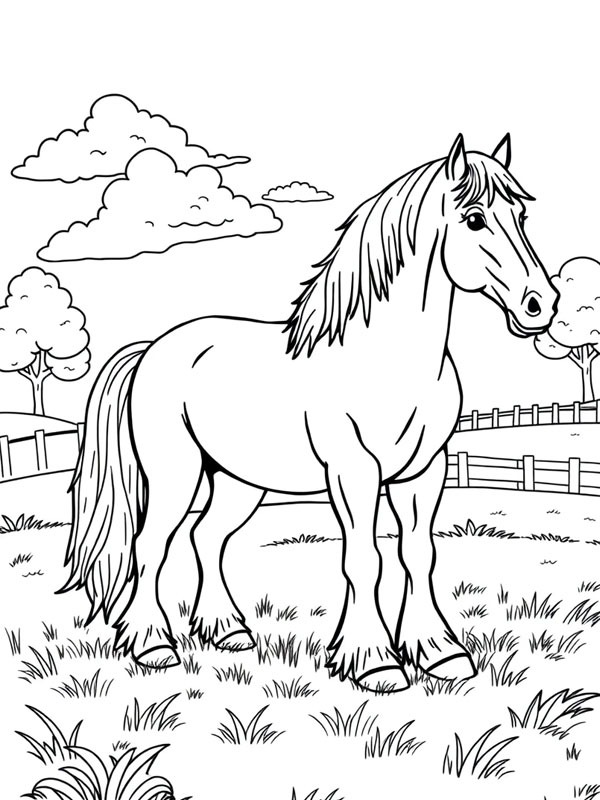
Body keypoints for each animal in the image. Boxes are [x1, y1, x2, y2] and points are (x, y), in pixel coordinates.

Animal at [62, 134, 558, 692]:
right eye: (474, 219)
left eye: (521, 216)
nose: (542, 304)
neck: (389, 359)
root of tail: (152, 349)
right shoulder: (354, 471)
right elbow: (364, 559)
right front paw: (375, 662)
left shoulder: (424, 472)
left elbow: (418, 554)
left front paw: (439, 653)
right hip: (176, 473)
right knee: (152, 545)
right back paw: (153, 646)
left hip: (239, 481)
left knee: (205, 539)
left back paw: (229, 632)